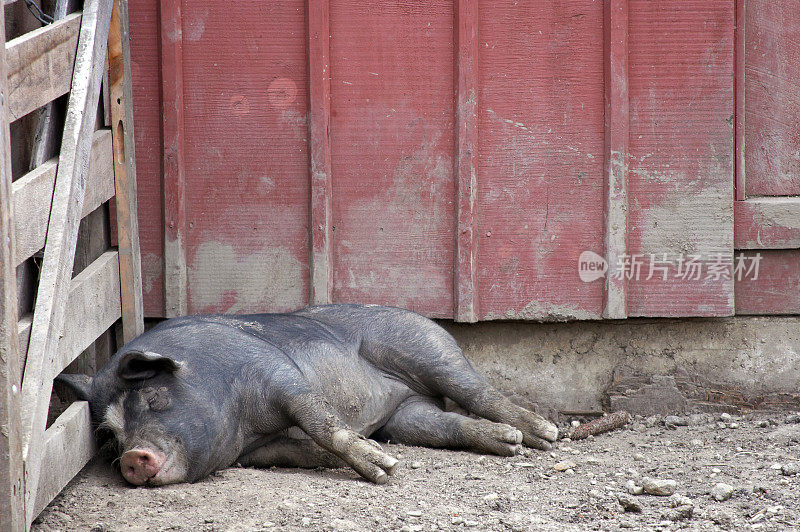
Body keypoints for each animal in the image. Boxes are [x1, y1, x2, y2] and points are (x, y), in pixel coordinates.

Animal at [57, 304, 556, 486]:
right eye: (111, 436)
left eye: (154, 399)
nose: (132, 457)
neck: (242, 427)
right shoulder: (254, 452)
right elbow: (300, 450)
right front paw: (374, 457)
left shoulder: (275, 371)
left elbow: (320, 418)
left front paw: (385, 470)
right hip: (409, 415)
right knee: (446, 424)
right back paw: (509, 442)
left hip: (425, 346)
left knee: (478, 391)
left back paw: (543, 435)